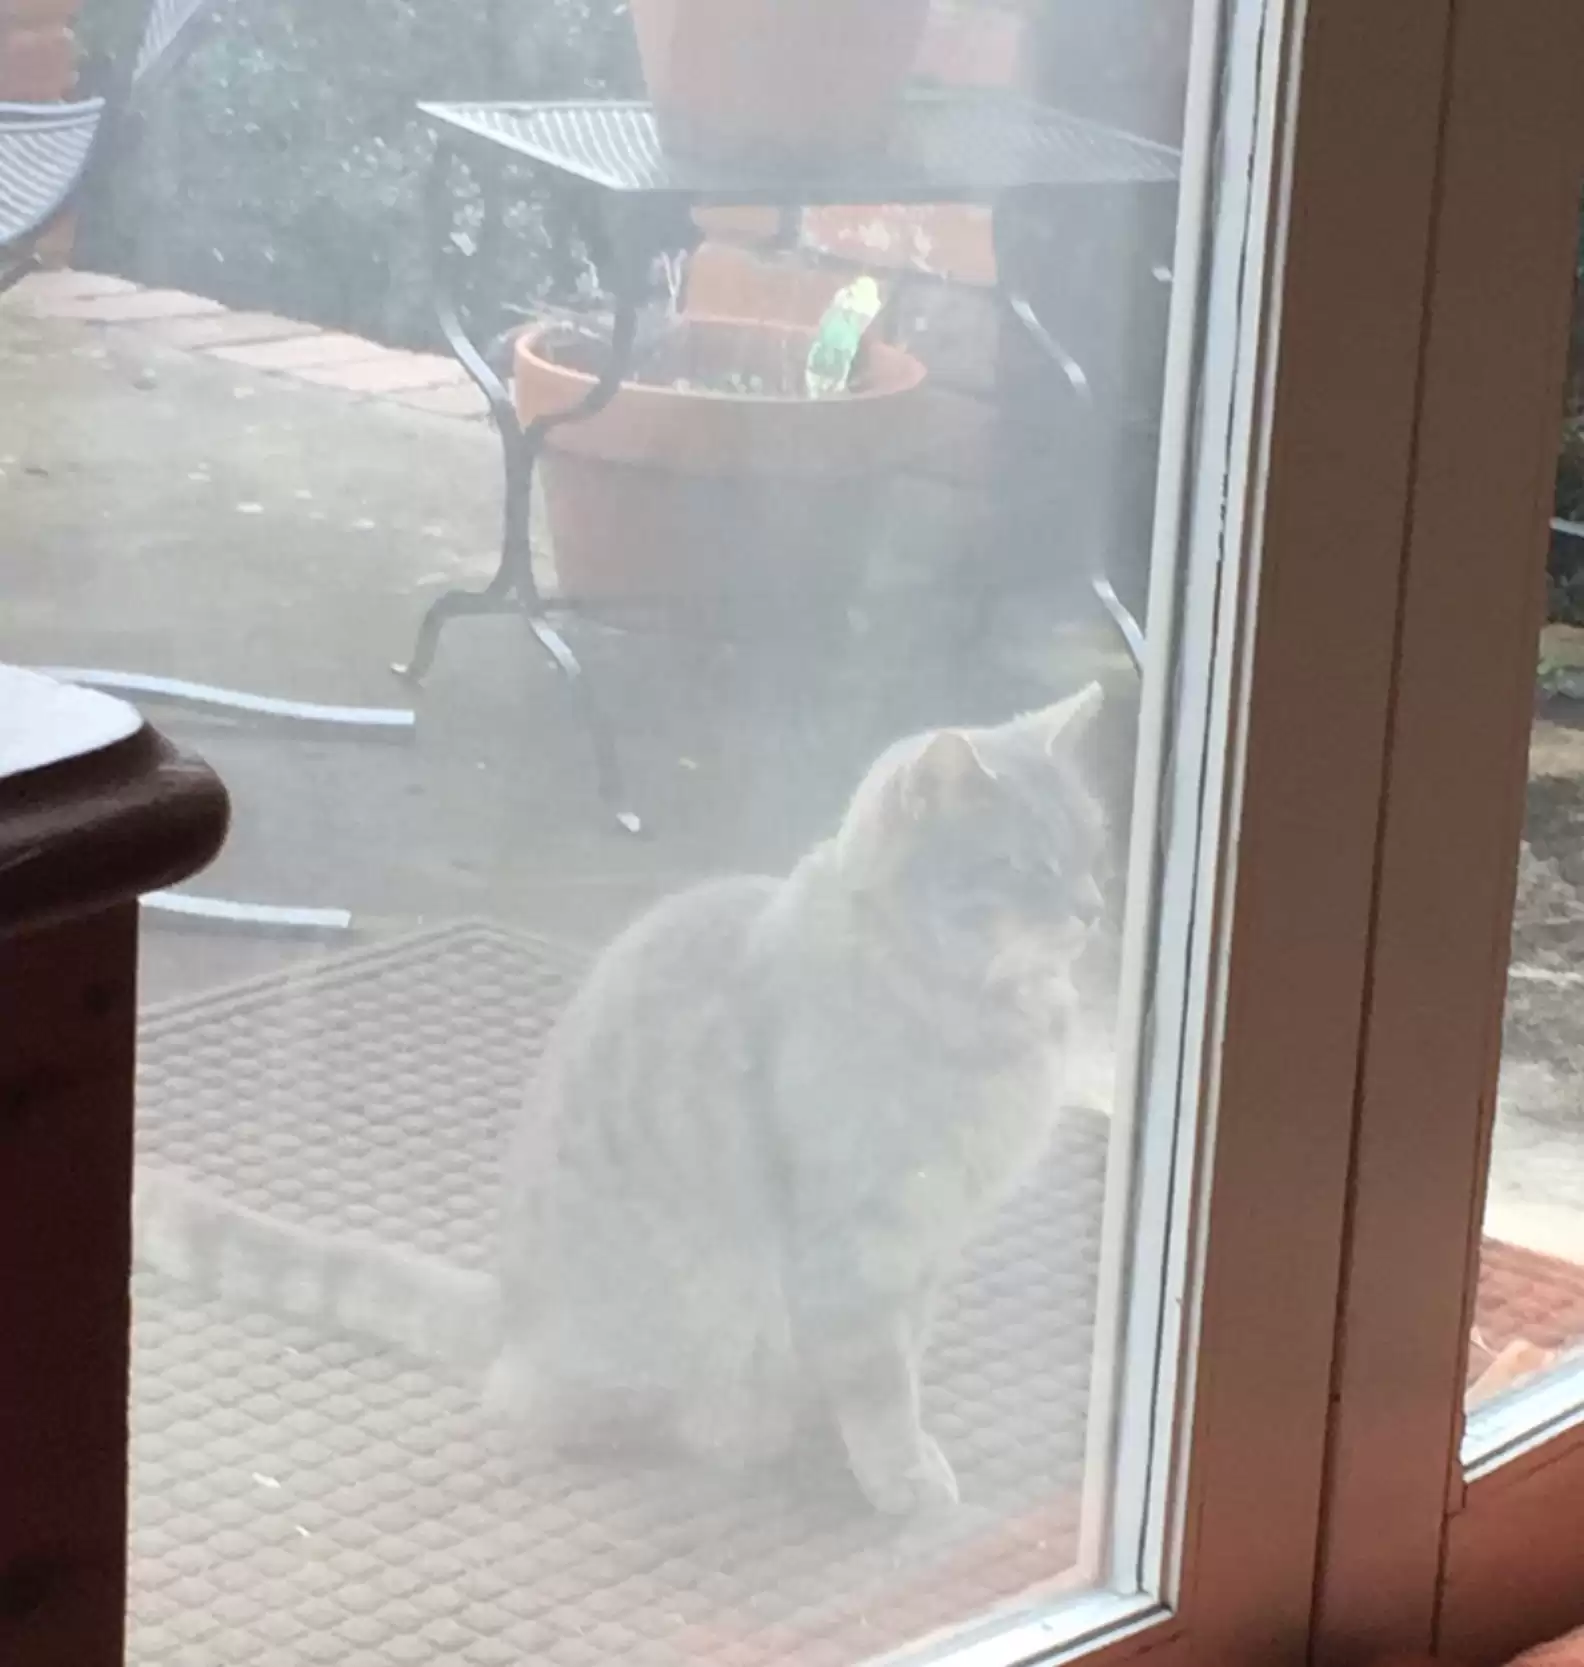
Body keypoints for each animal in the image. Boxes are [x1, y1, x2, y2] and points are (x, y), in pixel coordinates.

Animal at [133, 683, 1100, 1520]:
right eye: (1026, 865)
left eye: (1094, 843)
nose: (1093, 908)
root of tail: (514, 1310)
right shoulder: (856, 1243)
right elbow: (875, 1376)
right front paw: (900, 1473)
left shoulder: (928, 1246)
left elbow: (901, 1356)